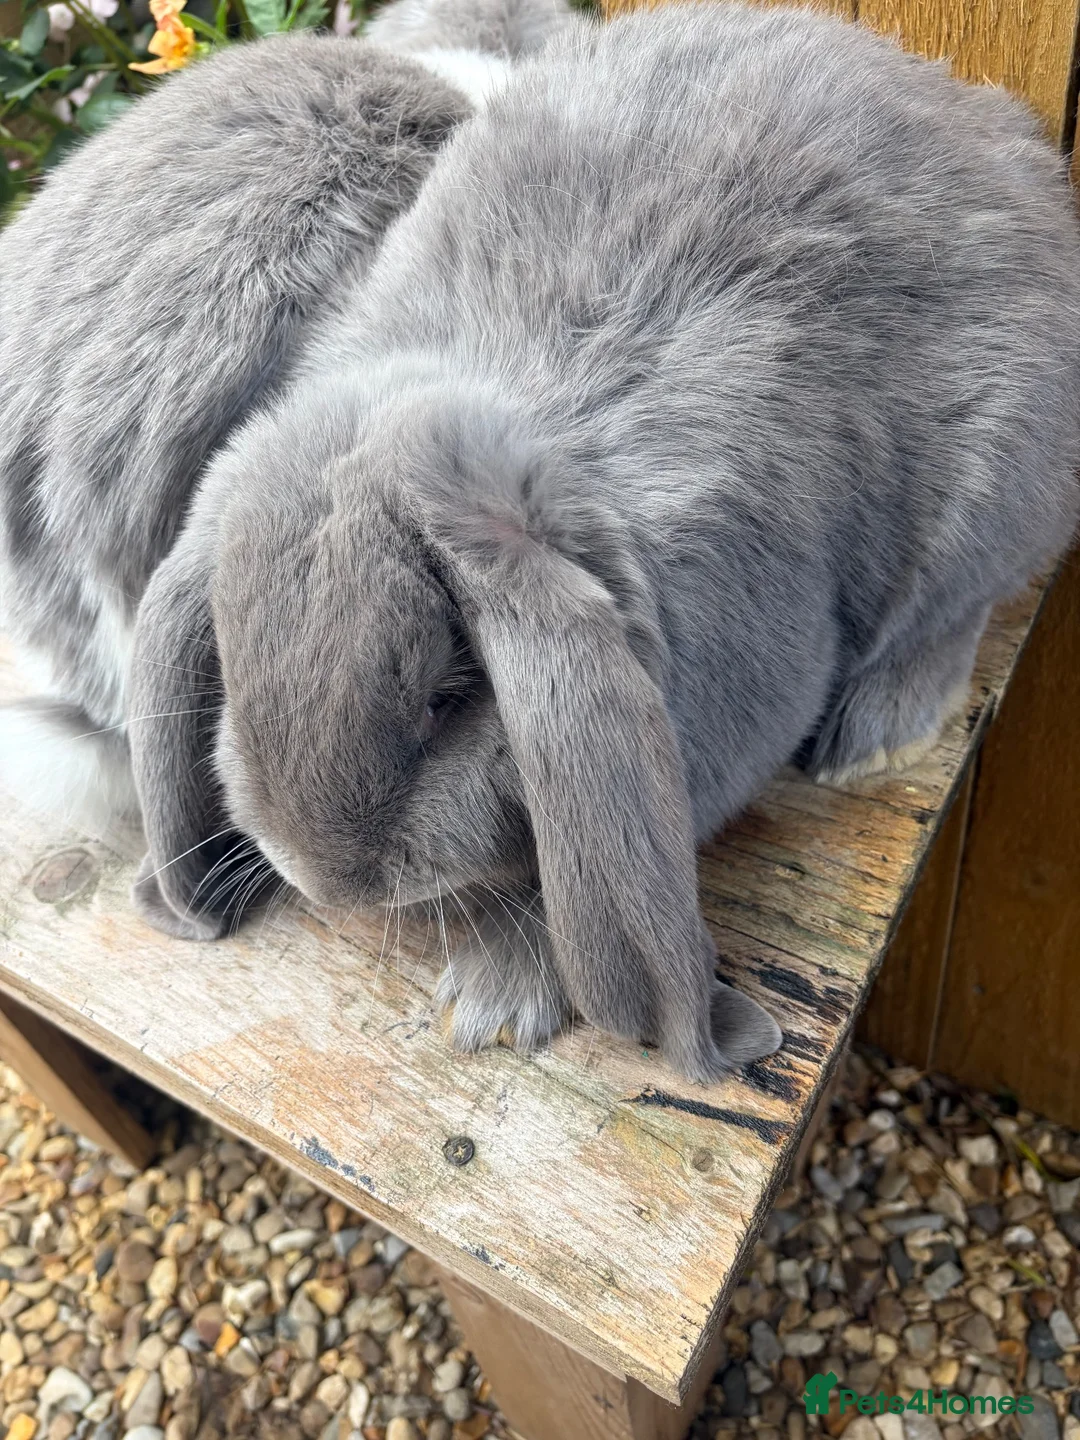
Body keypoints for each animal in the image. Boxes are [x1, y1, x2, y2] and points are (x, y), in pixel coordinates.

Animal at [123, 0, 1080, 1081]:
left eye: (448, 699)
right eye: (235, 677)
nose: (327, 876)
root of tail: (995, 131)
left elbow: (570, 883)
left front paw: (497, 998)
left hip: (997, 488)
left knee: (955, 614)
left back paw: (873, 739)